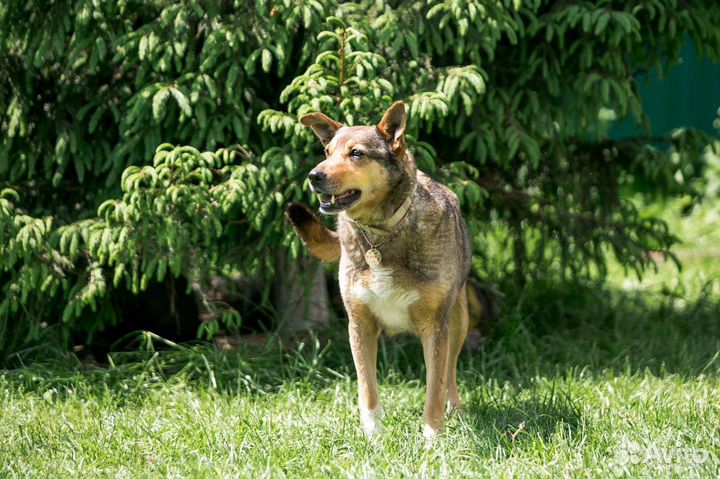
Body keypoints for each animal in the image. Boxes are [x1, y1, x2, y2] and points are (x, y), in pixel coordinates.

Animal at [286, 103, 472, 440]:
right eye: (327, 151)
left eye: (356, 153)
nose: (313, 176)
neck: (381, 232)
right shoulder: (359, 324)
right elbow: (367, 387)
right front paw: (373, 435)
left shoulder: (435, 325)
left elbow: (434, 387)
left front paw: (433, 437)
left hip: (458, 321)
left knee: (450, 371)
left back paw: (456, 408)